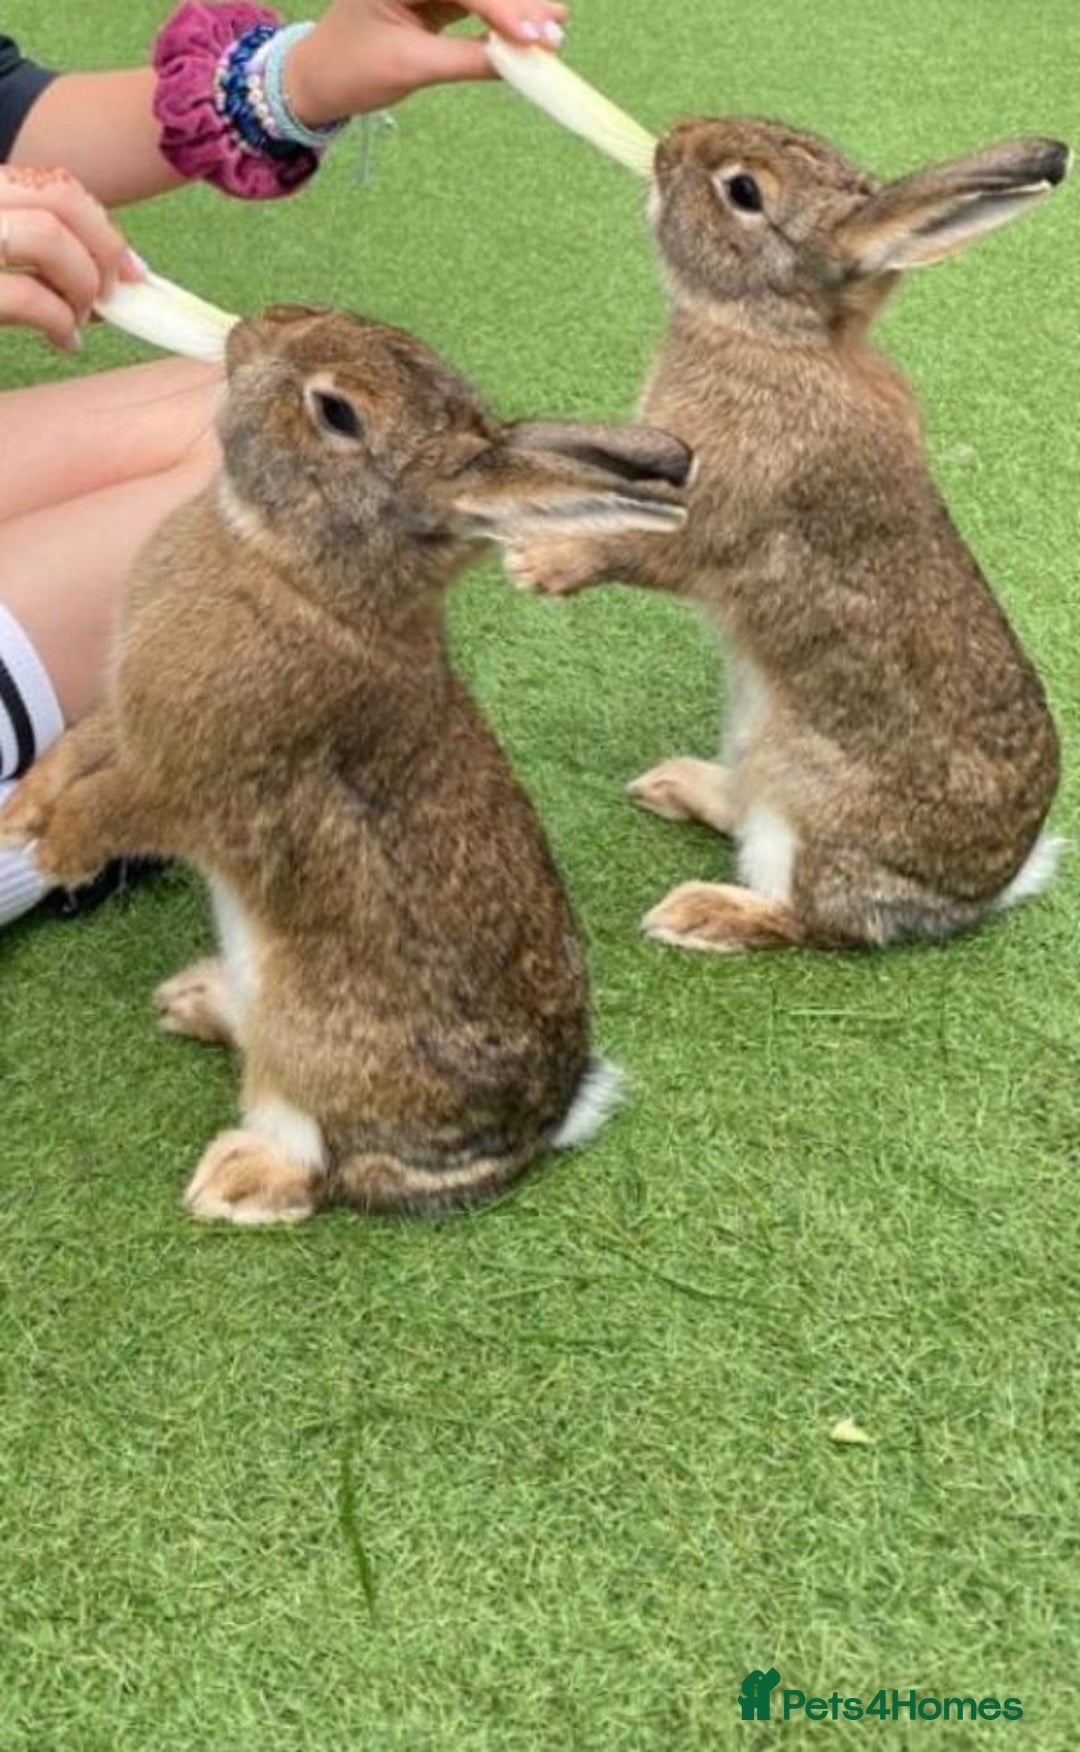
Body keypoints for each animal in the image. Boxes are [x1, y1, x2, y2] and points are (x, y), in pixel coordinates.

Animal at [0, 305, 691, 1224]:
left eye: (335, 412)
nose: (253, 330)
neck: (298, 575)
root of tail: (541, 1131)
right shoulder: (130, 721)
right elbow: (81, 748)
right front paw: (21, 813)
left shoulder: (202, 785)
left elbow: (119, 804)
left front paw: (58, 851)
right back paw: (196, 1000)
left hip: (312, 1034)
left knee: (324, 1165)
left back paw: (235, 1178)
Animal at [507, 122, 1069, 954]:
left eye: (743, 191)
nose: (670, 142)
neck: (775, 337)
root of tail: (982, 893)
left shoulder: (708, 509)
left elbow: (639, 547)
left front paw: (538, 562)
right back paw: (676, 783)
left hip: (802, 794)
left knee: (814, 919)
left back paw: (699, 912)